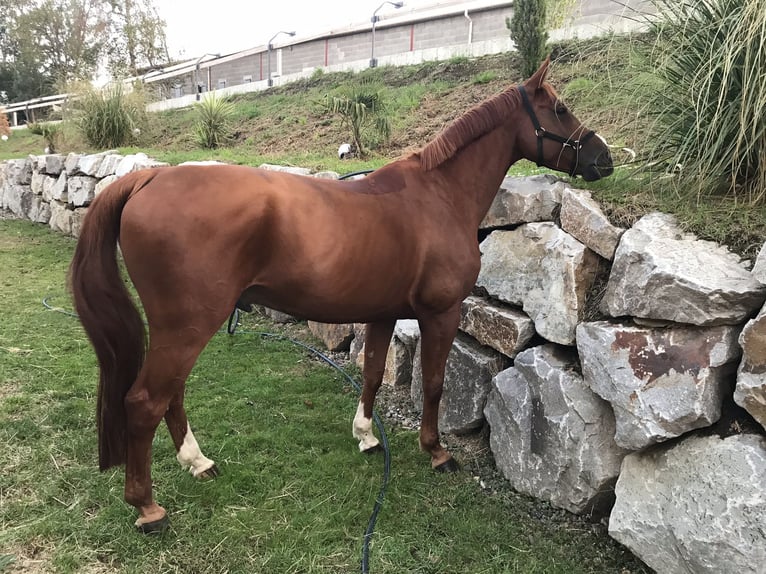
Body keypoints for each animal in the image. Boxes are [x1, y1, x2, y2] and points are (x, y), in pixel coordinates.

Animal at [69, 60, 616, 532]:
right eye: (559, 108)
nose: (604, 159)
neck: (438, 196)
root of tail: (151, 175)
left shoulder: (381, 314)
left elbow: (372, 372)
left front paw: (367, 436)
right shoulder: (441, 313)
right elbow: (434, 383)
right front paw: (436, 451)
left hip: (181, 328)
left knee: (172, 394)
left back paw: (197, 462)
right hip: (188, 325)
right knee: (145, 400)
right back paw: (147, 506)